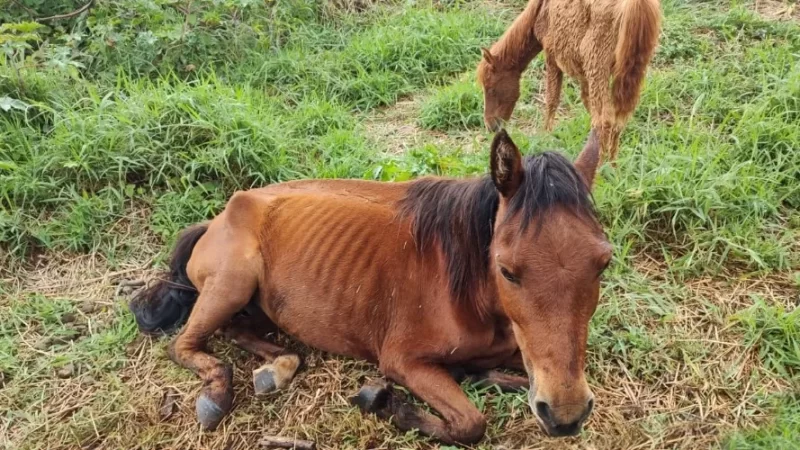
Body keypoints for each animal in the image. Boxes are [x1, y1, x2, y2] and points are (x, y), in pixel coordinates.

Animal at [130, 129, 612, 442]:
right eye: (507, 270)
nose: (565, 415)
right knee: (185, 345)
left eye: (602, 264)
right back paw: (216, 393)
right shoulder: (402, 361)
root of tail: (218, 218)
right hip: (232, 282)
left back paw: (277, 367)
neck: (469, 291)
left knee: (243, 334)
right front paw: (387, 405)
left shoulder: (522, 351)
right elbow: (471, 425)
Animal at [478, 0, 660, 160]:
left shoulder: (551, 56)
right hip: (631, 69)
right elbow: (586, 102)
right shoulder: (584, 73)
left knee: (605, 119)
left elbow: (552, 100)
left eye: (490, 88)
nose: (490, 126)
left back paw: (601, 167)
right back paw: (613, 164)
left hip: (597, 63)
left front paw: (545, 136)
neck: (541, 11)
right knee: (618, 118)